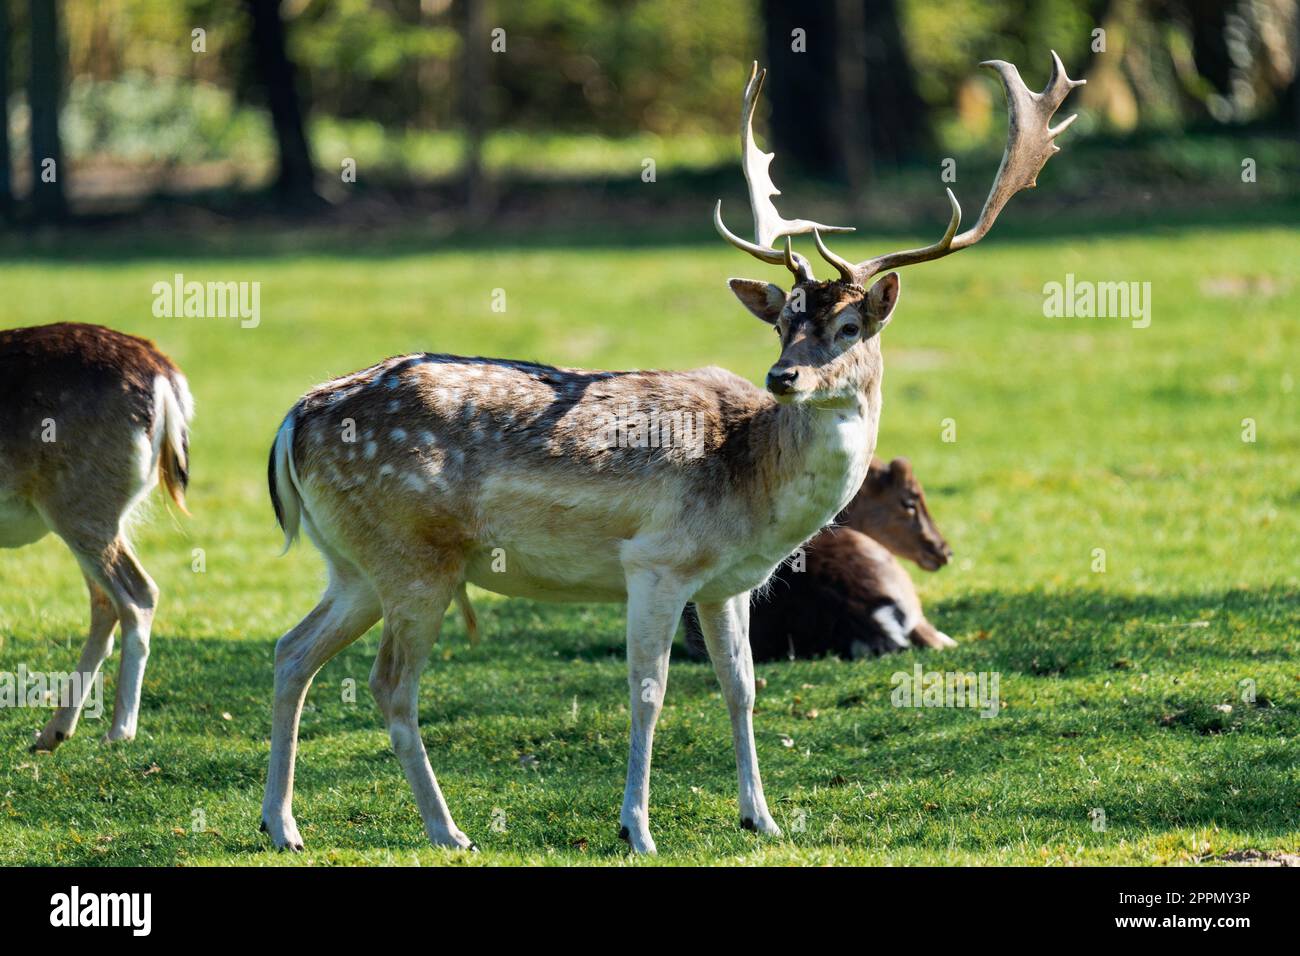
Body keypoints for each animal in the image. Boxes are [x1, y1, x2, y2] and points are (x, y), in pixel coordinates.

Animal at [0, 322, 193, 751]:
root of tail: (166, 375)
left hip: (81, 502)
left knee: (137, 593)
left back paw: (118, 730)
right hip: (98, 512)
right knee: (105, 602)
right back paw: (52, 732)